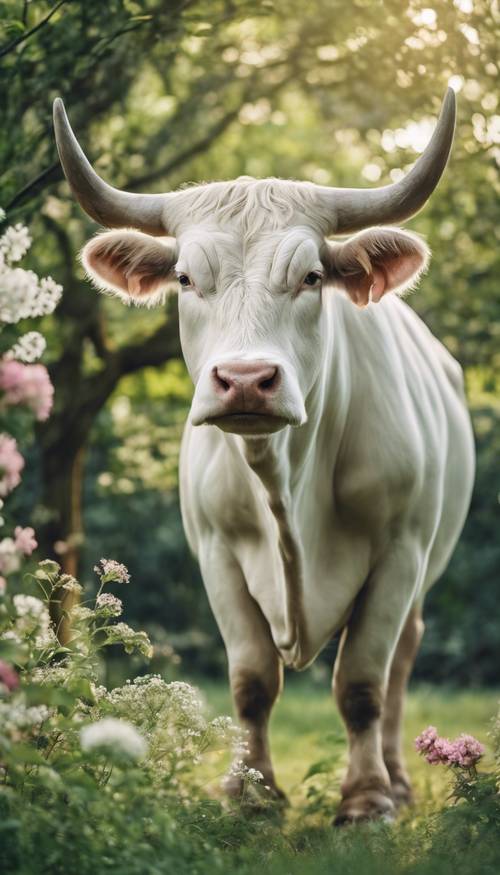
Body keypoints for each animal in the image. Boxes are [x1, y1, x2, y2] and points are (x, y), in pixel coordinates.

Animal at [53, 92, 472, 824]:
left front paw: (367, 799)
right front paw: (250, 791)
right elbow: (252, 680)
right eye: (185, 278)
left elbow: (362, 681)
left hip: (424, 570)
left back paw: (397, 778)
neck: (287, 487)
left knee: (398, 668)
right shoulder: (217, 553)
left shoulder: (400, 552)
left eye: (312, 276)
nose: (246, 380)